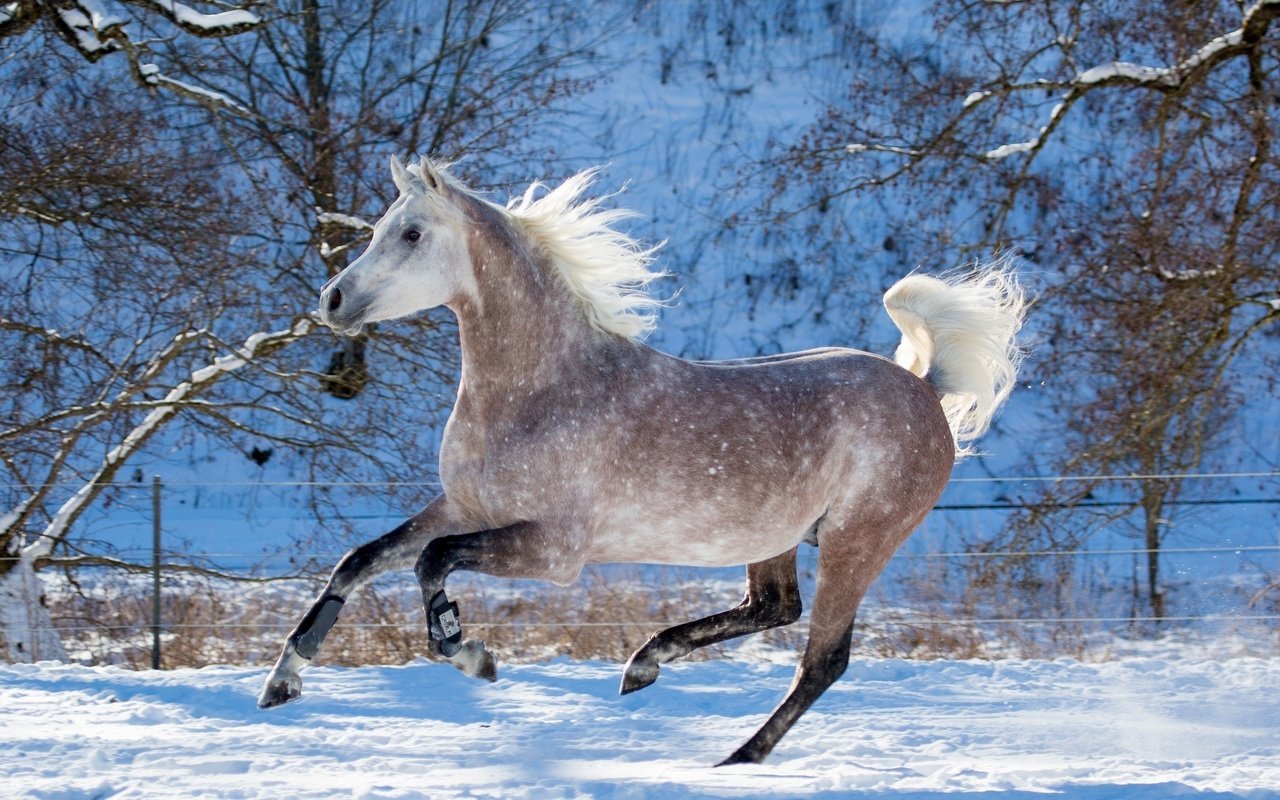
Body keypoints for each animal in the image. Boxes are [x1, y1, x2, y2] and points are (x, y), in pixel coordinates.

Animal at [262, 154, 1029, 762]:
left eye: (413, 233)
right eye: (379, 228)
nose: (333, 300)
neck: (543, 389)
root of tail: (926, 391)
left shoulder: (554, 551)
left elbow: (431, 562)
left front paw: (474, 657)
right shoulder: (463, 506)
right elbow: (361, 560)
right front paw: (282, 681)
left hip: (857, 542)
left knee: (822, 661)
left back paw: (736, 759)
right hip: (776, 537)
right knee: (771, 608)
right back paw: (644, 665)